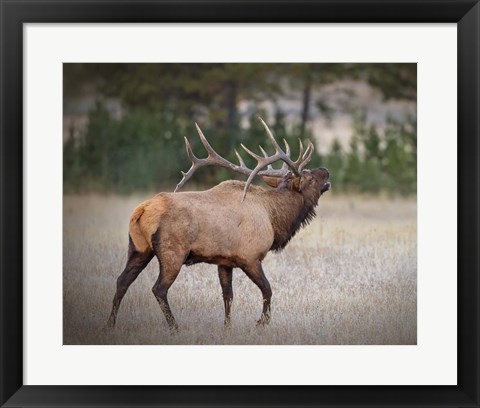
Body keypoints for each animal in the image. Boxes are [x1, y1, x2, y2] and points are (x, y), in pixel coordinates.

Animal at [107, 116, 330, 330]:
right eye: (309, 177)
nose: (325, 170)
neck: (274, 219)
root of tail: (142, 210)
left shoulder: (225, 261)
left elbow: (228, 296)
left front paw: (227, 327)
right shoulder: (250, 256)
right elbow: (267, 289)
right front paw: (262, 322)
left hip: (139, 248)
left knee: (122, 281)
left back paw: (110, 324)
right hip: (173, 252)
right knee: (159, 289)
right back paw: (174, 327)